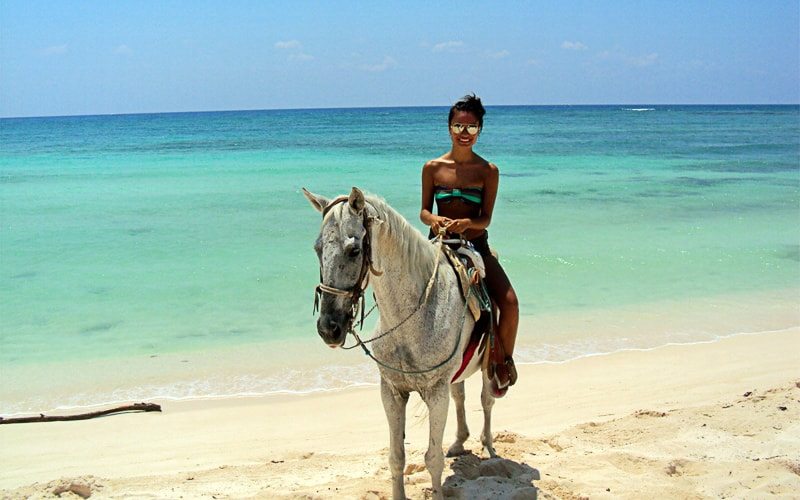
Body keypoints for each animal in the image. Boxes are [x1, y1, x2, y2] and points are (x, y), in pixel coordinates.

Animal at [304, 186, 496, 498]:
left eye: (354, 250)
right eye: (318, 248)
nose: (328, 328)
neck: (411, 315)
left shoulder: (436, 392)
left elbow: (433, 459)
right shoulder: (392, 391)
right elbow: (396, 457)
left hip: (491, 365)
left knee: (487, 400)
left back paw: (488, 444)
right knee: (461, 395)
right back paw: (459, 442)